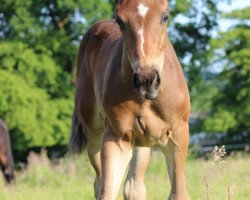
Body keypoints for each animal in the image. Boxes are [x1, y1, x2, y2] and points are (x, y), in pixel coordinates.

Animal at [68, 0, 189, 199]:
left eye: (165, 16)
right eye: (120, 20)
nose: (146, 79)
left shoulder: (178, 134)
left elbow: (178, 193)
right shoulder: (117, 139)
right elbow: (106, 192)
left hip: (143, 141)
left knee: (134, 186)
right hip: (93, 133)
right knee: (99, 182)